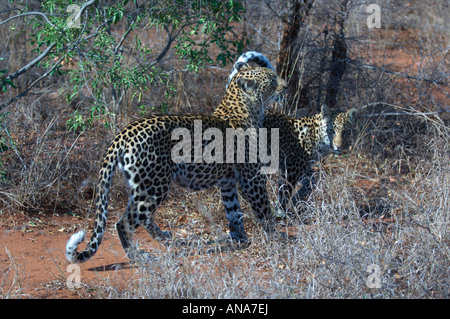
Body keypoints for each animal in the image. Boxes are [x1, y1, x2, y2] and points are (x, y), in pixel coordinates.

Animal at [65, 63, 286, 264]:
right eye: (272, 80)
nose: (286, 86)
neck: (245, 106)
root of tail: (124, 133)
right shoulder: (252, 178)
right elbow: (264, 208)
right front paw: (276, 236)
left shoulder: (228, 183)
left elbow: (234, 211)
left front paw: (239, 237)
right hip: (154, 185)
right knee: (124, 223)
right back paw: (138, 257)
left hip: (142, 185)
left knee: (142, 217)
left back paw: (162, 237)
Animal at [227, 51, 356, 214]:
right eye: (331, 131)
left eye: (345, 132)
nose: (339, 146)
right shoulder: (291, 168)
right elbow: (285, 191)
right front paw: (281, 211)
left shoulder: (304, 167)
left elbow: (311, 181)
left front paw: (298, 198)